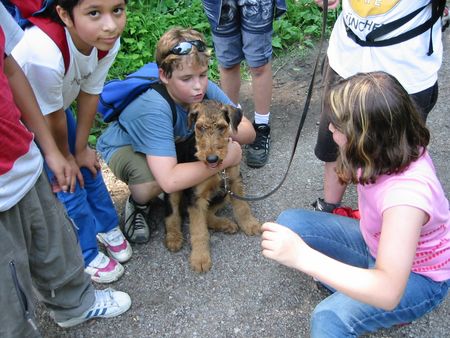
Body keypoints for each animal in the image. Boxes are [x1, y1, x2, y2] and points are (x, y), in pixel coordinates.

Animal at [164, 99, 260, 272]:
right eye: (200, 127)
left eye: (222, 127)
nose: (212, 159)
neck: (218, 170)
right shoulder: (196, 198)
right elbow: (199, 230)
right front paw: (200, 259)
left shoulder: (235, 182)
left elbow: (243, 208)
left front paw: (250, 224)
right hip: (174, 193)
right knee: (172, 216)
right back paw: (174, 238)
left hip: (224, 193)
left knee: (208, 214)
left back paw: (225, 224)